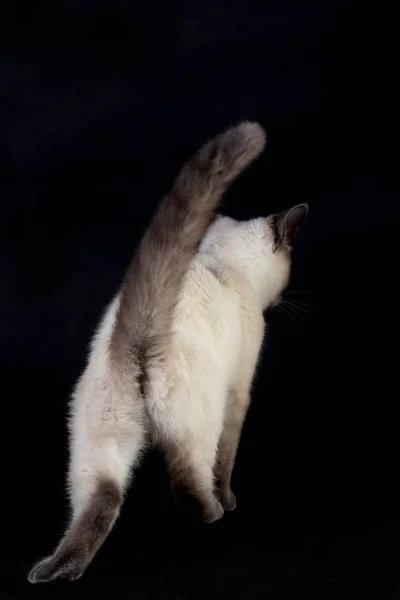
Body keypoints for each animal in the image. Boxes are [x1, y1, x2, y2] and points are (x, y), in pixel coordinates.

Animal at [28, 119, 268, 584]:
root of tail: (140, 334)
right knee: (188, 476)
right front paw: (230, 498)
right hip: (200, 422)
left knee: (102, 497)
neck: (224, 264)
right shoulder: (239, 390)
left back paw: (54, 571)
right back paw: (211, 512)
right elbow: (228, 459)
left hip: (99, 440)